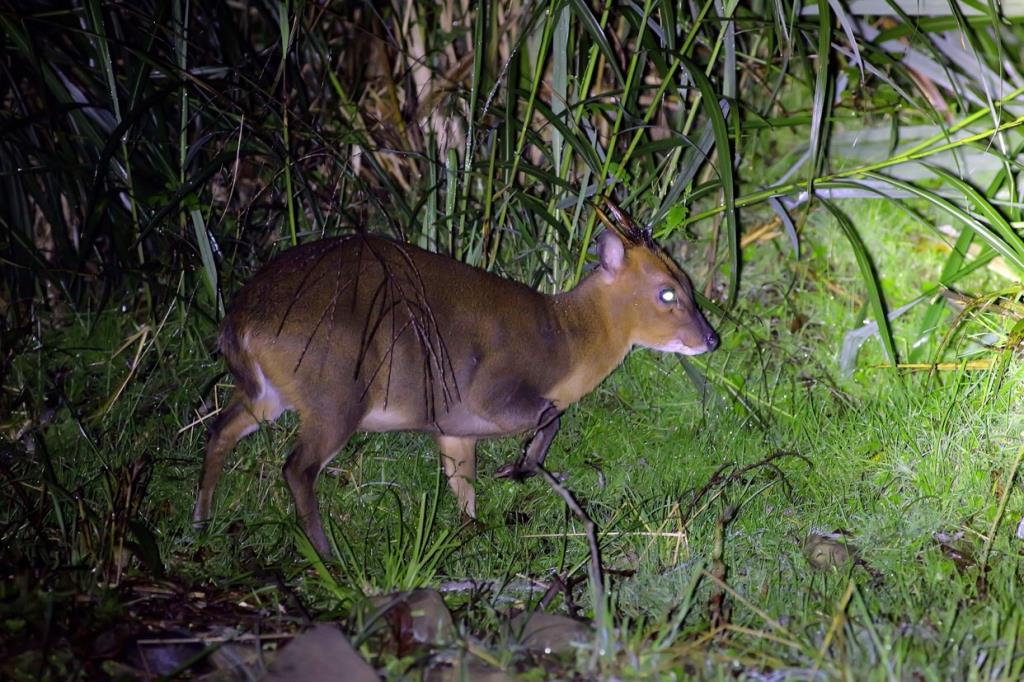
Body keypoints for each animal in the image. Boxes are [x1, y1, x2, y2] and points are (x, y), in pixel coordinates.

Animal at [193, 204, 720, 557]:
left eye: (688, 284)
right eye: (667, 292)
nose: (712, 339)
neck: (565, 340)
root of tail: (239, 324)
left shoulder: (452, 427)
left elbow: (463, 488)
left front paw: (474, 529)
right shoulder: (490, 389)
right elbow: (551, 415)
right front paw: (517, 468)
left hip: (267, 392)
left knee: (220, 430)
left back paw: (201, 520)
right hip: (336, 393)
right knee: (297, 467)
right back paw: (329, 555)